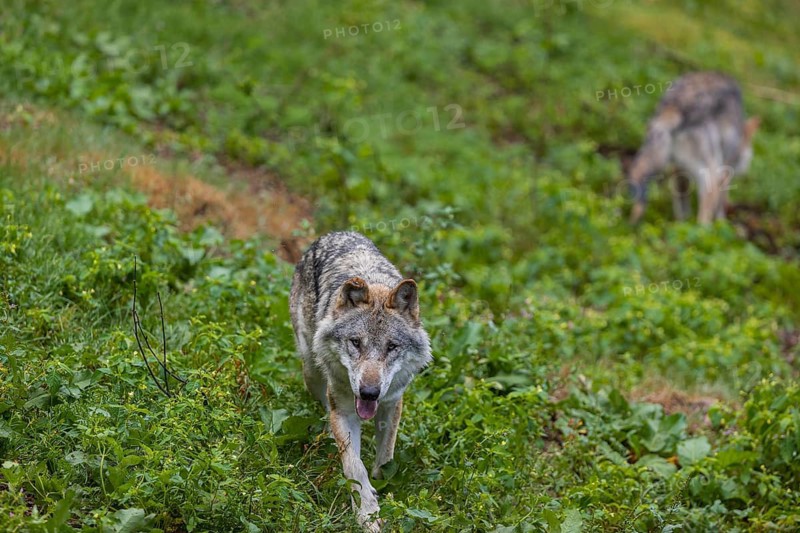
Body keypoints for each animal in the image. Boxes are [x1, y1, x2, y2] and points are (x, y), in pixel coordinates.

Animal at [289, 231, 432, 531]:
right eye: (356, 342)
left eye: (392, 347)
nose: (369, 392)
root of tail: (335, 234)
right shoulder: (343, 410)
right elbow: (354, 467)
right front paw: (367, 514)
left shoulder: (391, 402)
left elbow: (386, 455)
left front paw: (383, 487)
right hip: (311, 371)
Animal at [628, 71, 760, 224]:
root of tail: (675, 106)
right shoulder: (725, 170)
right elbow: (720, 204)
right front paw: (722, 222)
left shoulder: (678, 170)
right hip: (710, 174)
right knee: (703, 218)